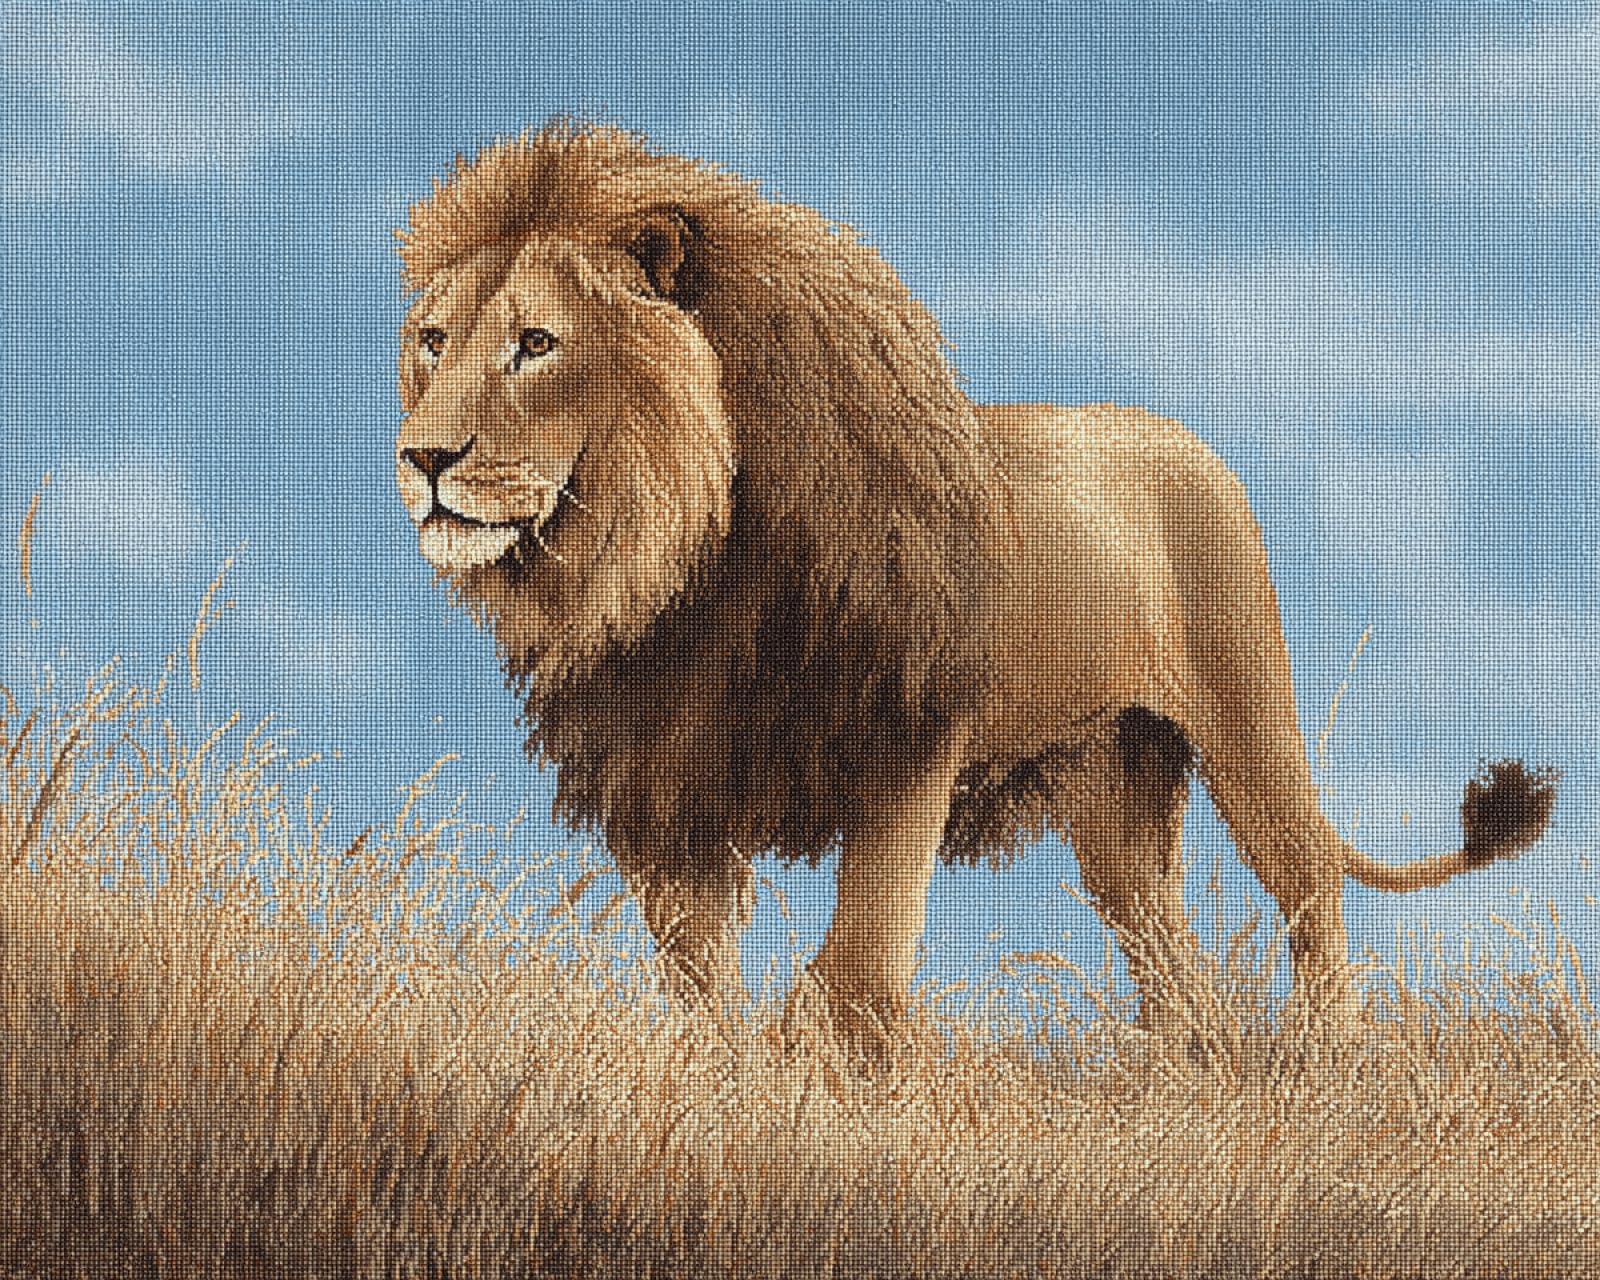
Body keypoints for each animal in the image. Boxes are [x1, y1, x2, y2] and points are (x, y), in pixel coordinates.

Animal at [393, 121, 1557, 1053]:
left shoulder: (905, 736)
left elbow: (861, 954)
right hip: (1108, 779)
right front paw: (721, 1078)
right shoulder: (667, 770)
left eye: (536, 343)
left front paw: (837, 1072)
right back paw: (1185, 1072)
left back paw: (1327, 1054)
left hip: (1247, 720)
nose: (422, 458)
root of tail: (1186, 440)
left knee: (1311, 884)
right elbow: (695, 968)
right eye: (434, 340)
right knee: (1162, 943)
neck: (676, 560)